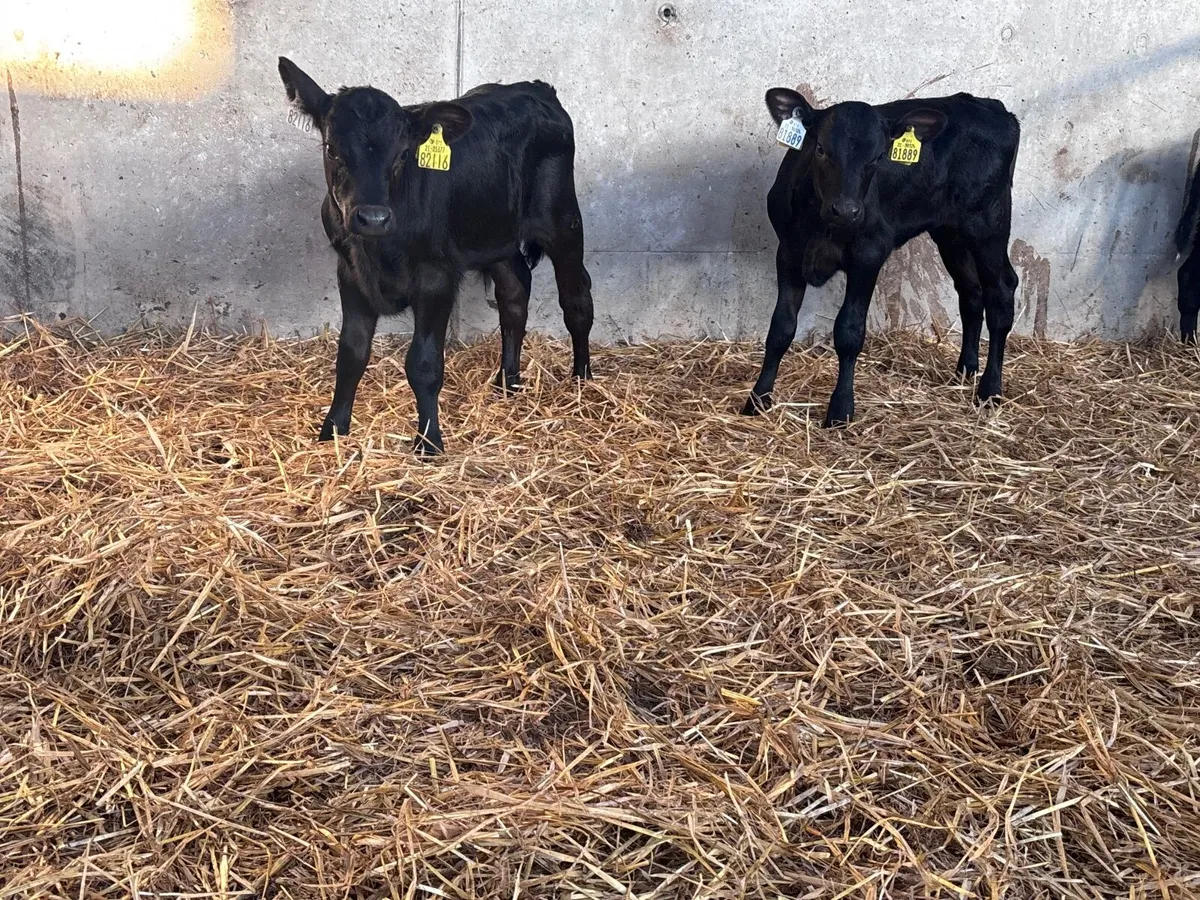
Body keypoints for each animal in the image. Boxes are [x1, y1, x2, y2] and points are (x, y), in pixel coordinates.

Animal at [278, 58, 594, 454]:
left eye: (402, 154)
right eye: (332, 148)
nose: (372, 217)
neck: (379, 250)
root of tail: (537, 88)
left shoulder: (436, 276)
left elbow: (424, 363)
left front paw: (429, 442)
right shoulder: (349, 272)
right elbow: (351, 353)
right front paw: (333, 430)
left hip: (563, 221)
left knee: (576, 298)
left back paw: (581, 381)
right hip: (494, 234)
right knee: (514, 295)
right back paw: (507, 381)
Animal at [742, 88, 1022, 428]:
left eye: (877, 157)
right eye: (820, 148)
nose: (846, 210)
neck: (821, 224)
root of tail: (990, 105)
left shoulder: (868, 255)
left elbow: (849, 332)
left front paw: (840, 410)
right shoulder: (789, 253)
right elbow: (781, 327)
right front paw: (758, 398)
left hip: (989, 224)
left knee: (1001, 292)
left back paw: (990, 390)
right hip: (951, 234)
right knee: (971, 293)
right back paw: (964, 372)